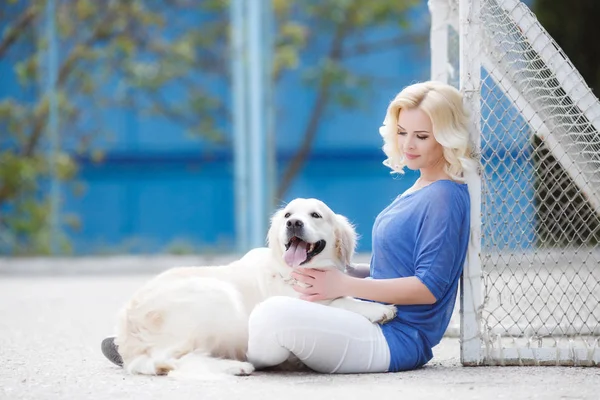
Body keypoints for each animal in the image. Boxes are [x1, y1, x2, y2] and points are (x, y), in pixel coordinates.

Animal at [114, 199, 396, 378]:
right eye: (287, 215)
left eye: (315, 215)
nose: (293, 223)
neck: (290, 271)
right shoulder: (307, 299)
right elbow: (340, 300)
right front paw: (378, 310)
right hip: (219, 297)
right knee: (168, 359)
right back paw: (233, 367)